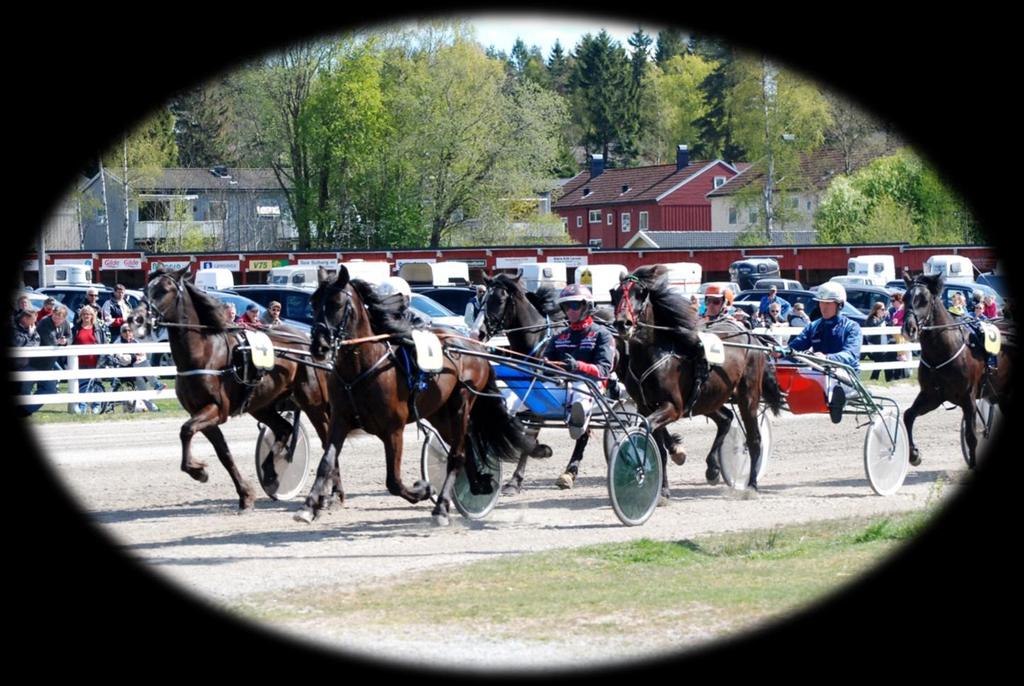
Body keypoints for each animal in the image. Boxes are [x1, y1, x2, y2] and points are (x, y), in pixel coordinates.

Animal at [139, 266, 331, 513]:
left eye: (164, 289)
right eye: (146, 288)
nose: (137, 318)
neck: (205, 352)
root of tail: (308, 343)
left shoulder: (216, 409)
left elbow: (186, 430)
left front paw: (197, 470)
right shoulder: (201, 413)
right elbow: (223, 453)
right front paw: (244, 494)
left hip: (312, 401)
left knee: (326, 436)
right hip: (262, 404)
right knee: (285, 429)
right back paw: (270, 472)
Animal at [299, 264, 532, 528]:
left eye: (337, 304)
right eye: (313, 303)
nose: (319, 347)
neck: (361, 368)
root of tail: (474, 346)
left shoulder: (393, 429)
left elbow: (393, 481)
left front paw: (424, 489)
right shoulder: (340, 421)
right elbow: (326, 463)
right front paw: (309, 506)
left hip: (461, 404)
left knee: (457, 454)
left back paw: (442, 507)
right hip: (439, 413)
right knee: (466, 444)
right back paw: (477, 484)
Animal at [610, 266, 786, 497]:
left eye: (640, 293)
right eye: (616, 294)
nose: (623, 323)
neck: (655, 354)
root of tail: (753, 337)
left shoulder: (673, 407)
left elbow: (647, 426)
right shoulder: (645, 406)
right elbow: (658, 443)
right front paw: (663, 488)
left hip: (747, 396)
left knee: (754, 439)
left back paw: (751, 486)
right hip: (709, 397)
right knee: (726, 419)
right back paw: (713, 469)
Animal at [901, 272, 1011, 470]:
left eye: (924, 300)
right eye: (905, 298)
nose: (909, 328)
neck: (943, 351)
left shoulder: (968, 399)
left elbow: (971, 437)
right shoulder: (932, 396)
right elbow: (909, 415)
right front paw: (914, 455)